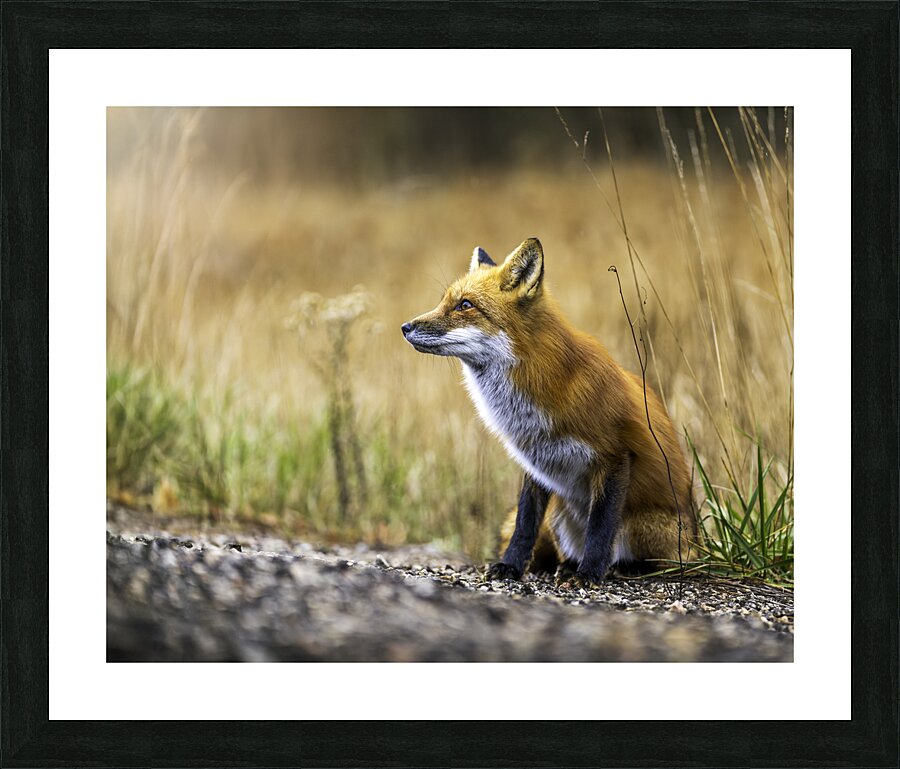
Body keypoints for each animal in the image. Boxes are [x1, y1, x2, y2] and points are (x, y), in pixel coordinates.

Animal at [401, 237, 696, 584]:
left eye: (465, 305)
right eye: (444, 301)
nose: (405, 327)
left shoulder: (615, 456)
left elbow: (600, 527)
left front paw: (590, 573)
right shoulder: (537, 458)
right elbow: (524, 523)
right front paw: (511, 565)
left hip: (650, 529)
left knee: (669, 558)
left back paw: (624, 566)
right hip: (559, 514)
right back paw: (567, 564)